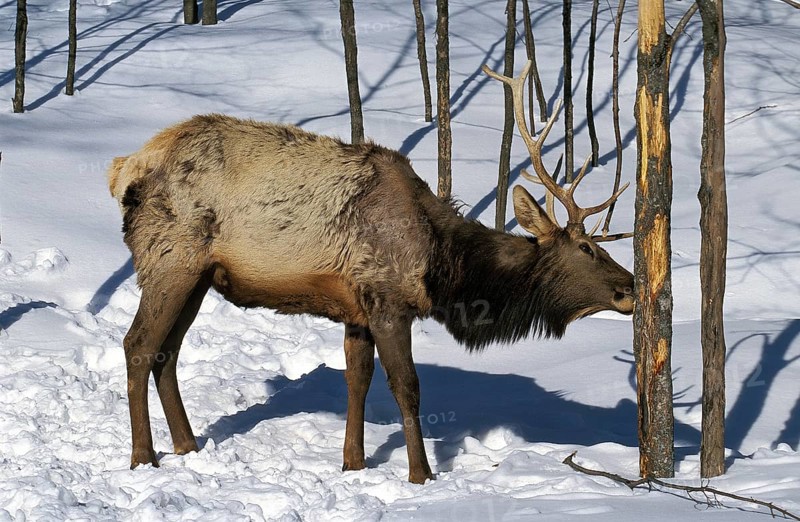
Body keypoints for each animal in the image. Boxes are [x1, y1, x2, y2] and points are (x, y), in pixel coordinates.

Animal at [107, 61, 634, 484]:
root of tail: (125, 169)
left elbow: (356, 380)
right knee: (139, 344)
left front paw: (354, 463)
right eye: (586, 247)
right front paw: (421, 474)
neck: (443, 268)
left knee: (168, 352)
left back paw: (187, 446)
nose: (629, 286)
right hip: (170, 258)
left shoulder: (355, 308)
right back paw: (143, 456)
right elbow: (408, 388)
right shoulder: (387, 300)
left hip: (197, 276)